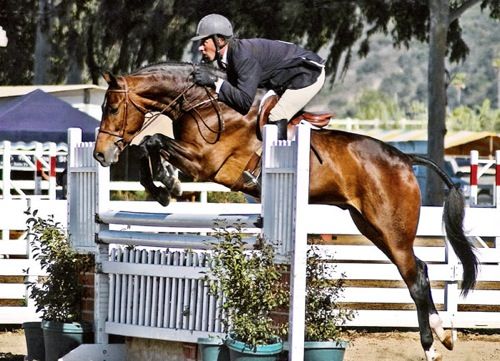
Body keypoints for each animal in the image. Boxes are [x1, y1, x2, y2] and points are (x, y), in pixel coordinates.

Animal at [94, 61, 476, 360]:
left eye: (111, 108)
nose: (100, 154)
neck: (202, 103)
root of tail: (404, 158)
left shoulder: (206, 164)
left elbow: (152, 141)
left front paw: (166, 185)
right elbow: (150, 145)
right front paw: (163, 186)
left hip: (391, 229)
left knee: (415, 277)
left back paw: (432, 345)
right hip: (371, 227)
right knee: (419, 269)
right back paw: (443, 335)